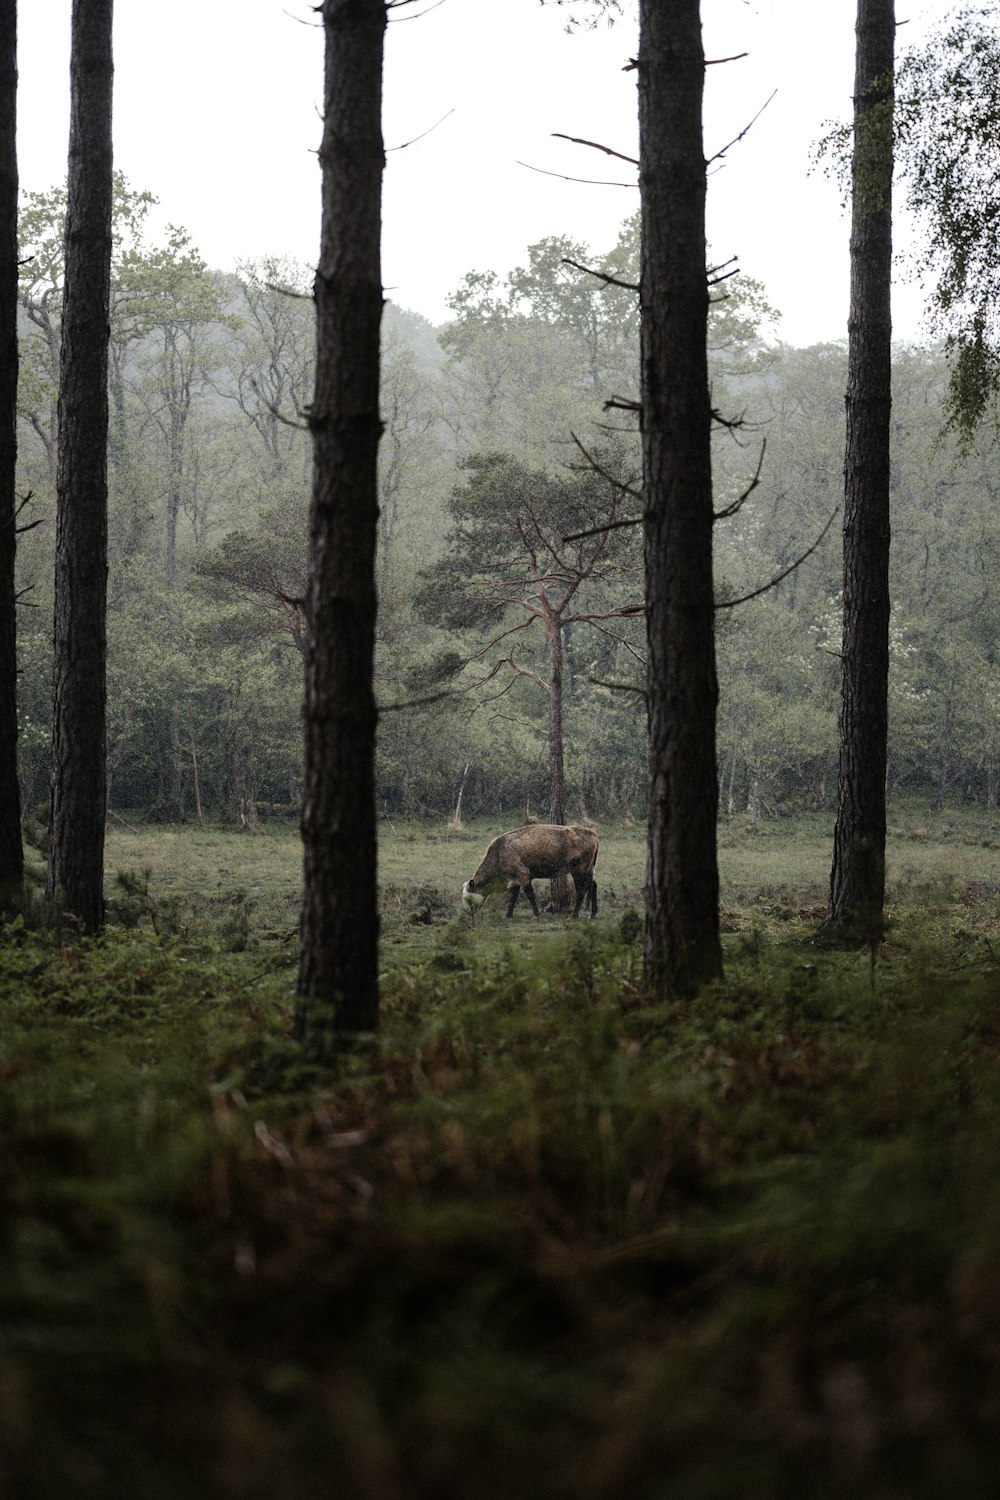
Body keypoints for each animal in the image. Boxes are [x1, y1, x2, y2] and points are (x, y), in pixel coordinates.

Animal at [464, 828, 602, 918]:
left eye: (467, 898)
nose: (467, 912)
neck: (500, 852)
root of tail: (592, 833)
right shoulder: (515, 880)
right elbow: (513, 897)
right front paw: (508, 914)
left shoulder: (523, 876)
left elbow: (530, 895)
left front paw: (536, 915)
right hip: (590, 870)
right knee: (593, 886)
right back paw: (593, 913)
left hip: (579, 871)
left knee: (581, 891)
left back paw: (574, 915)